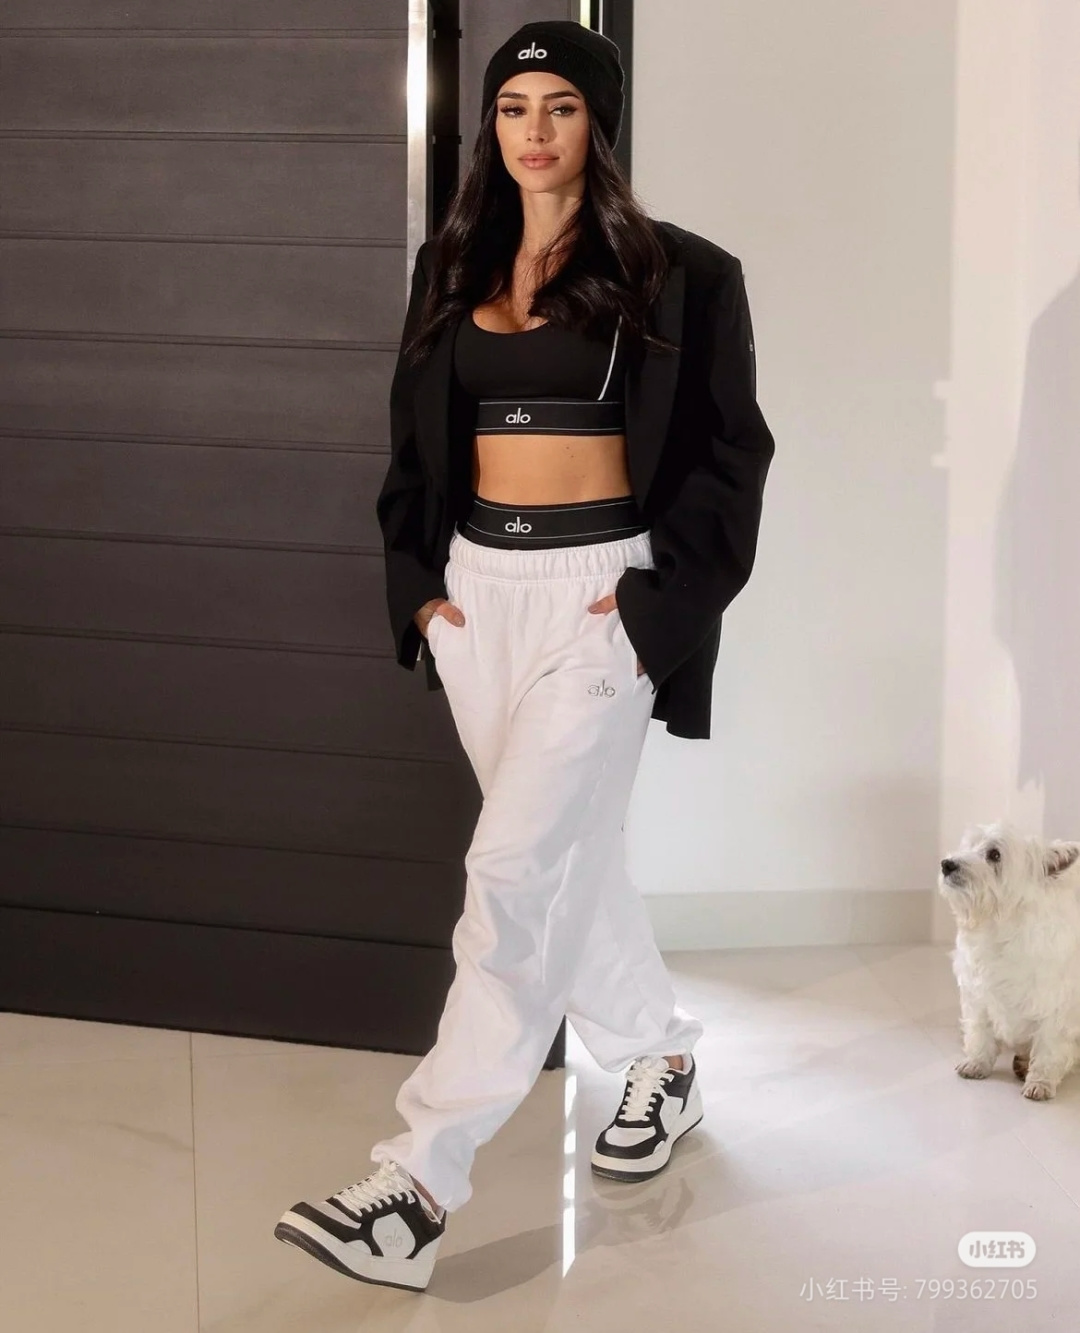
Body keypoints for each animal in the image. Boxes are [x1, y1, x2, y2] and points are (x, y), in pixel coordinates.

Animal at [937, 821, 1080, 1100]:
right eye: (969, 845)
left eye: (995, 855)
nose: (947, 864)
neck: (1000, 925)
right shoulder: (978, 992)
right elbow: (979, 1030)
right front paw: (977, 1063)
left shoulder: (1057, 1006)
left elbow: (1050, 1047)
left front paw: (1040, 1082)